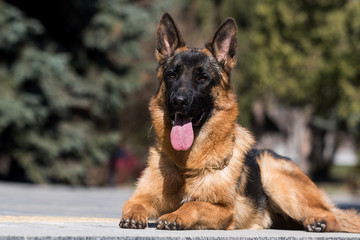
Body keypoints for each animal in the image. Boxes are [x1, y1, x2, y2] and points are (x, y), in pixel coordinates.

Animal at [119, 13, 358, 232]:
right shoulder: (142, 196)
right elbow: (133, 204)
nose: (178, 101)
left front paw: (176, 215)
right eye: (172, 75)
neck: (187, 165)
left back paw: (319, 222)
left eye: (202, 78)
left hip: (272, 173)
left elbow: (193, 204)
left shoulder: (224, 210)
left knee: (332, 216)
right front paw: (134, 216)